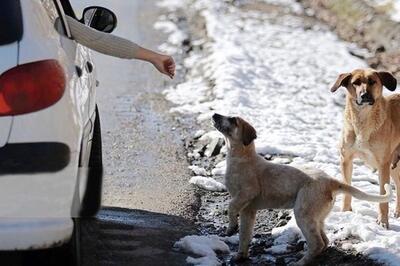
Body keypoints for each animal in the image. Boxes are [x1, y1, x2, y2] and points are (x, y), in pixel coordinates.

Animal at [211, 114, 392, 266]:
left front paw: (230, 227)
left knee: (318, 243)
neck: (242, 157)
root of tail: (330, 181)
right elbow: (244, 236)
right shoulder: (248, 210)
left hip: (303, 213)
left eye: (233, 120)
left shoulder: (246, 193)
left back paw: (300, 262)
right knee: (324, 242)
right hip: (316, 217)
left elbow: (230, 207)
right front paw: (240, 256)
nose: (214, 115)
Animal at [332, 69, 400, 229]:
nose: (364, 95)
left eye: (372, 81)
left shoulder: (383, 165)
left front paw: (383, 221)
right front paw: (345, 212)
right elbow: (347, 188)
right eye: (355, 82)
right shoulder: (346, 159)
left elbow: (383, 196)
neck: (362, 121)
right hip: (394, 164)